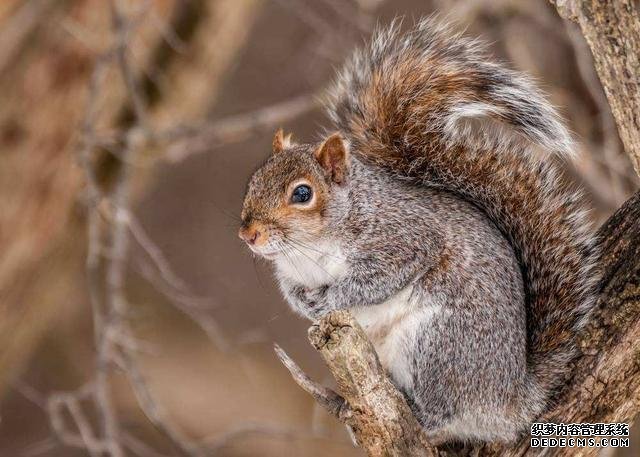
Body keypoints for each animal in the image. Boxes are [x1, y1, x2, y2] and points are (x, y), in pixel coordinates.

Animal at [238, 19, 596, 444]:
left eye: (302, 193)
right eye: (254, 180)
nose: (248, 235)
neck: (308, 249)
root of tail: (510, 401)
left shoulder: (405, 239)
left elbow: (378, 279)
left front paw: (333, 298)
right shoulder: (291, 272)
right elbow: (293, 292)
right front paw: (305, 304)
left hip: (437, 344)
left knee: (446, 411)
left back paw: (424, 418)